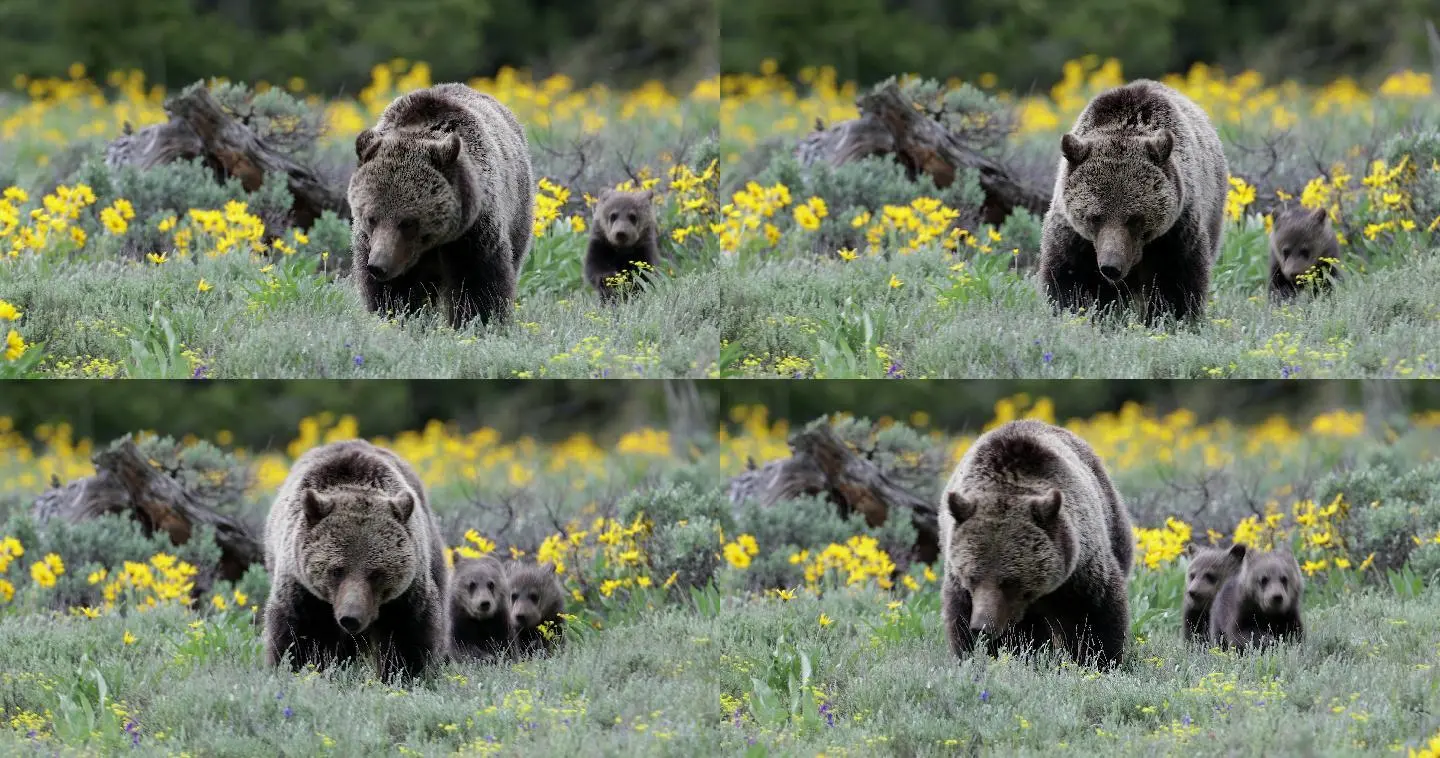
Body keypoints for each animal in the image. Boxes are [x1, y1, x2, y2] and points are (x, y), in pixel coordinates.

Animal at [260, 440, 449, 683]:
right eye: (336, 570)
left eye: (377, 573)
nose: (351, 618)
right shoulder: (302, 589)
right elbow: (297, 636)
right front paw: (294, 669)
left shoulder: (405, 596)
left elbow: (407, 635)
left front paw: (402, 675)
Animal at [347, 83, 535, 330]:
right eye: (371, 218)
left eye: (407, 222)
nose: (378, 265)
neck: (432, 244)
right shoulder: (374, 244)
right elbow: (394, 293)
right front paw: (399, 317)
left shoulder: (472, 235)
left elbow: (478, 283)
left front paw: (477, 322)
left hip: (518, 208)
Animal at [944, 420, 1134, 671]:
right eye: (972, 577)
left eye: (1010, 581)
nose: (983, 626)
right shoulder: (960, 584)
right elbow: (961, 622)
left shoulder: (1079, 572)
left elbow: (1096, 614)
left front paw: (1098, 661)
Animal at [1036, 79, 1226, 324]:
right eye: (1095, 217)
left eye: (1135, 218)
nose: (1111, 267)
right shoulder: (1073, 236)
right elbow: (1069, 278)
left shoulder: (1175, 233)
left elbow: (1177, 282)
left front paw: (1169, 318)